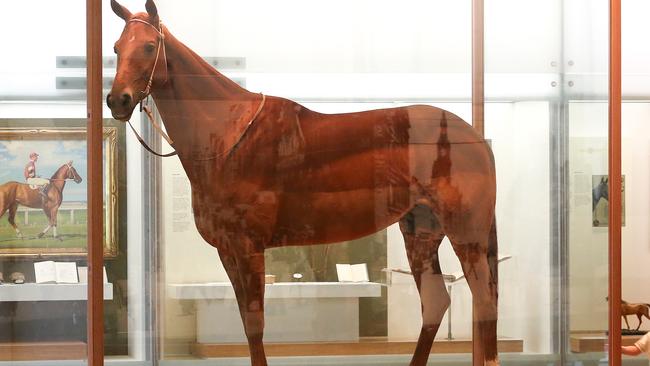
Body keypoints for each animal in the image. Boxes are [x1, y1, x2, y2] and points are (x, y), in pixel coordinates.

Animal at [107, 1, 496, 364]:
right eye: (116, 47)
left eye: (148, 46)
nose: (117, 100)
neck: (229, 135)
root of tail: (475, 137)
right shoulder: (227, 250)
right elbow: (247, 324)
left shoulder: (248, 247)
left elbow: (255, 325)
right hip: (421, 232)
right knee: (436, 302)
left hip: (467, 234)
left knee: (485, 302)